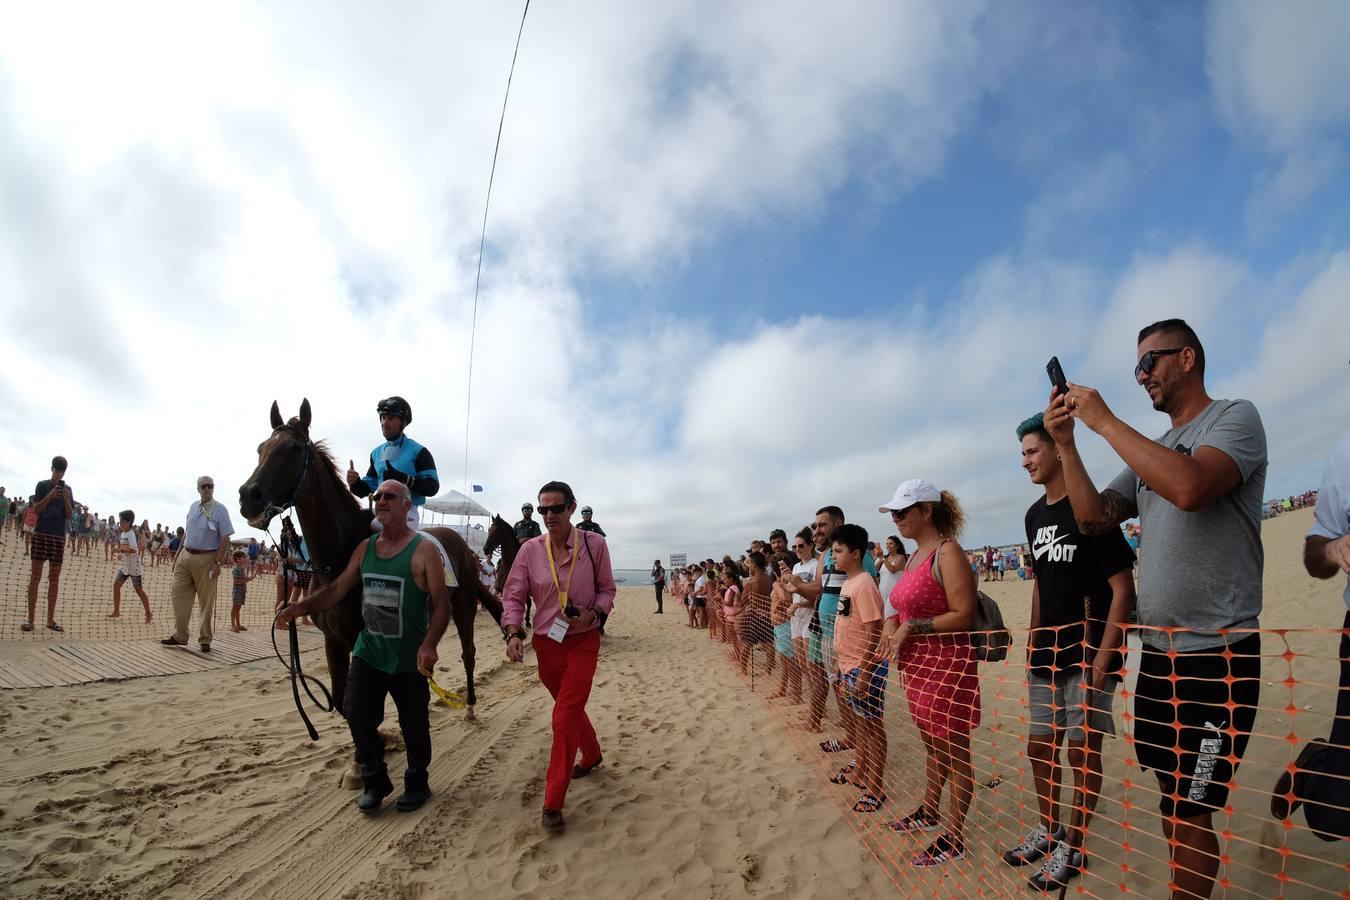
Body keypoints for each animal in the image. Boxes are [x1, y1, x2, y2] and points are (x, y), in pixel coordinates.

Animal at [240, 396, 504, 723]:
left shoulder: (363, 640)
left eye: (294, 449)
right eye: (261, 448)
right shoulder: (333, 640)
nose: (248, 496)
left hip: (464, 607)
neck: (335, 563)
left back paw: (469, 706)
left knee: (468, 654)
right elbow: (342, 703)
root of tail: (464, 546)